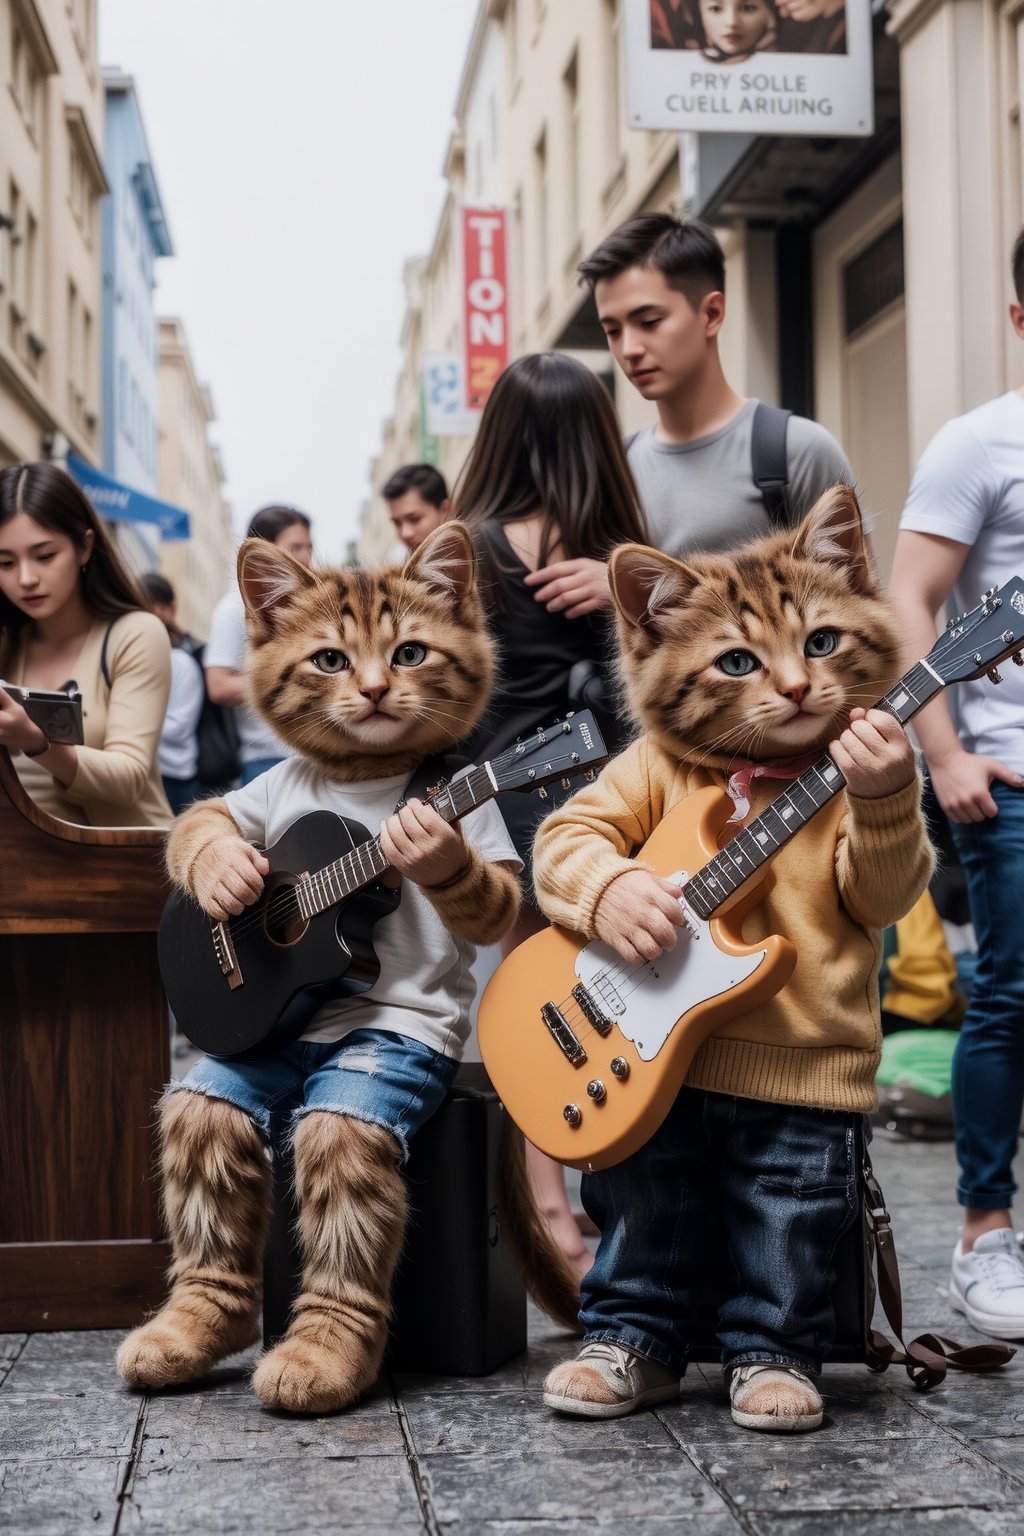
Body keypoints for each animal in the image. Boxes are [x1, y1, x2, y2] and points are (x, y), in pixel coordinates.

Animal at [534, 488, 933, 1425]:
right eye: (737, 662)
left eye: (821, 643)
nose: (797, 689)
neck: (767, 774)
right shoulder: (617, 786)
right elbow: (571, 831)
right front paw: (640, 911)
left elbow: (878, 888)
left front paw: (877, 761)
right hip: (650, 1144)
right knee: (646, 1220)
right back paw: (614, 1358)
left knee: (781, 1223)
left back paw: (775, 1373)